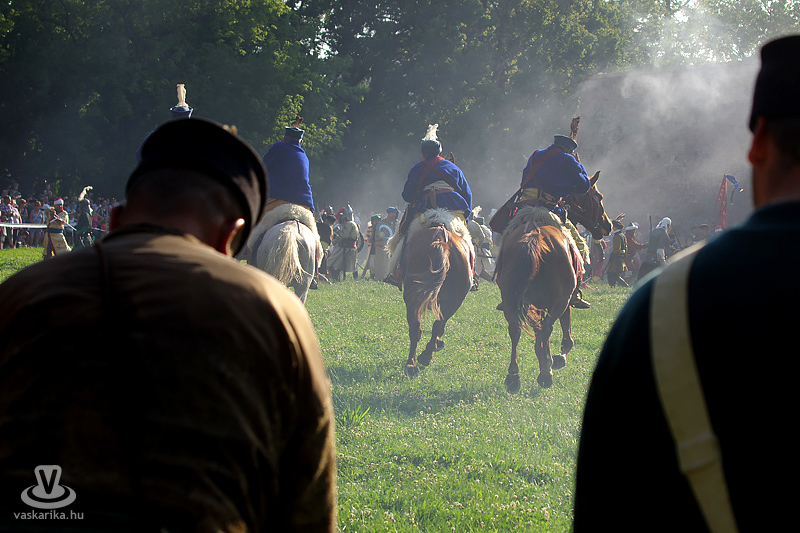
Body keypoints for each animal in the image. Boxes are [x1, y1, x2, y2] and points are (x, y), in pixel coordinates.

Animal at [400, 210, 473, 378]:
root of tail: (441, 239)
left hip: (414, 295)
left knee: (418, 327)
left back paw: (414, 363)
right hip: (454, 299)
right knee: (437, 323)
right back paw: (424, 356)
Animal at [496, 173, 612, 391]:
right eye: (599, 197)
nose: (608, 225)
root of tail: (533, 237)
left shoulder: (535, 304)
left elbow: (537, 331)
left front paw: (543, 358)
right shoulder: (564, 300)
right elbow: (564, 336)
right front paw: (556, 359)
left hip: (510, 299)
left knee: (516, 329)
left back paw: (513, 376)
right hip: (561, 299)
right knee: (547, 329)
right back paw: (546, 373)